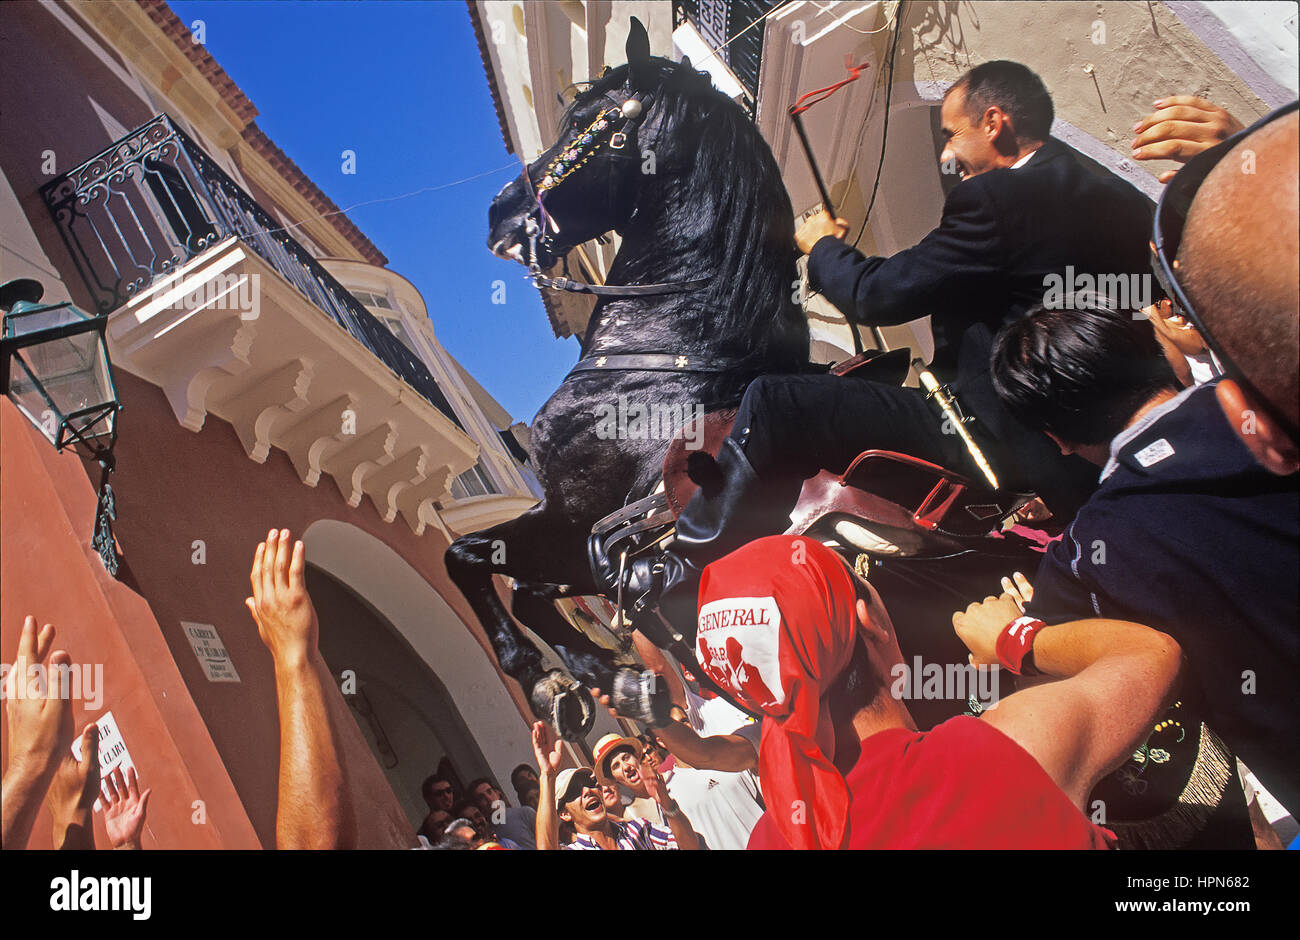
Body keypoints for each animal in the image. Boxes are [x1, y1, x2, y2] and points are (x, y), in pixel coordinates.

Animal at [449, 25, 811, 738]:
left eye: (584, 124)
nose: (499, 211)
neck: (667, 347)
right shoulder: (583, 540)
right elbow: (518, 584)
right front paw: (601, 678)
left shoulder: (579, 520)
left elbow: (470, 560)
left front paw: (555, 681)